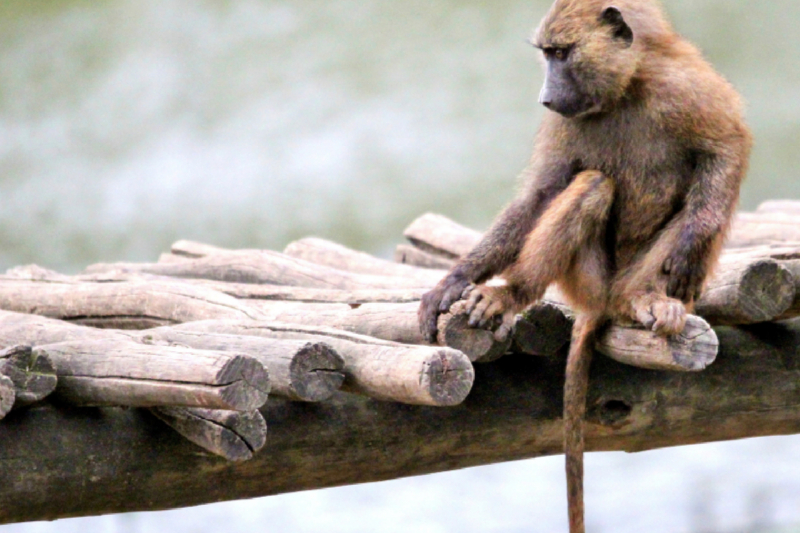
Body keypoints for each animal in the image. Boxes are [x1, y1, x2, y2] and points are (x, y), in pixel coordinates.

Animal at [418, 2, 752, 528]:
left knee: (684, 215)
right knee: (593, 184)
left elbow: (725, 148)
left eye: (561, 54)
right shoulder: (566, 127)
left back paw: (646, 300)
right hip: (586, 280)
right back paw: (511, 293)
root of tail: (604, 302)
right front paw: (452, 282)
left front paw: (694, 237)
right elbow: (541, 194)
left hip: (636, 276)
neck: (629, 87)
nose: (545, 97)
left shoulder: (686, 87)